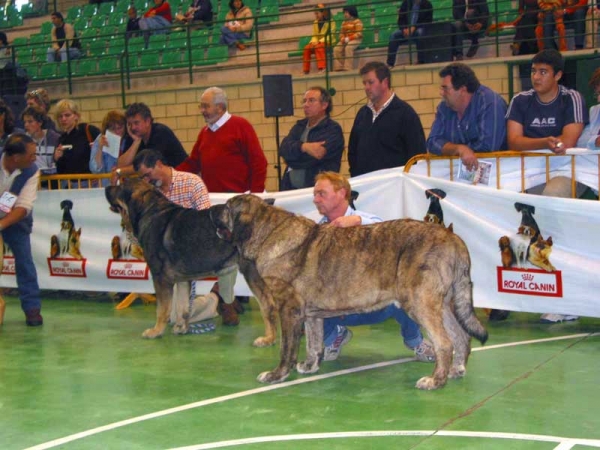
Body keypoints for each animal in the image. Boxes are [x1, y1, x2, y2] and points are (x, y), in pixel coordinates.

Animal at [105, 178, 239, 338]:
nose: (106, 188)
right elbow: (183, 306)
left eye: (121, 186)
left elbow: (162, 309)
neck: (149, 212)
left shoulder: (160, 278)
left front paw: (156, 331)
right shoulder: (183, 280)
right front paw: (181, 327)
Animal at [213, 195, 490, 388]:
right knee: (461, 337)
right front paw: (310, 365)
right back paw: (456, 370)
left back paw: (435, 380)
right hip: (442, 305)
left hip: (419, 302)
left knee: (444, 342)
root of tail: (453, 239)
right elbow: (313, 343)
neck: (267, 231)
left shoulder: (288, 310)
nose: (212, 209)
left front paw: (277, 374)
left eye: (227, 207)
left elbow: (287, 348)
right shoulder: (310, 315)